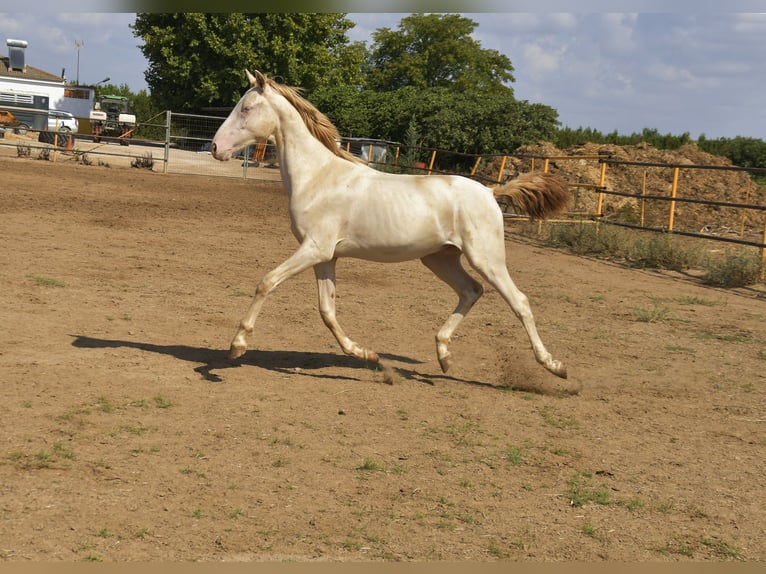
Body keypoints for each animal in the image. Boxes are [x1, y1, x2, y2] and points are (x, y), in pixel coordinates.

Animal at [210, 70, 568, 380]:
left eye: (246, 108)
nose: (215, 148)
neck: (318, 177)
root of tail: (491, 192)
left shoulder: (314, 248)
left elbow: (267, 282)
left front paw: (236, 346)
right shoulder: (326, 256)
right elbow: (327, 310)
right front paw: (366, 354)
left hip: (486, 258)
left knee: (519, 301)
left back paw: (555, 366)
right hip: (439, 258)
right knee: (471, 291)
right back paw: (443, 355)